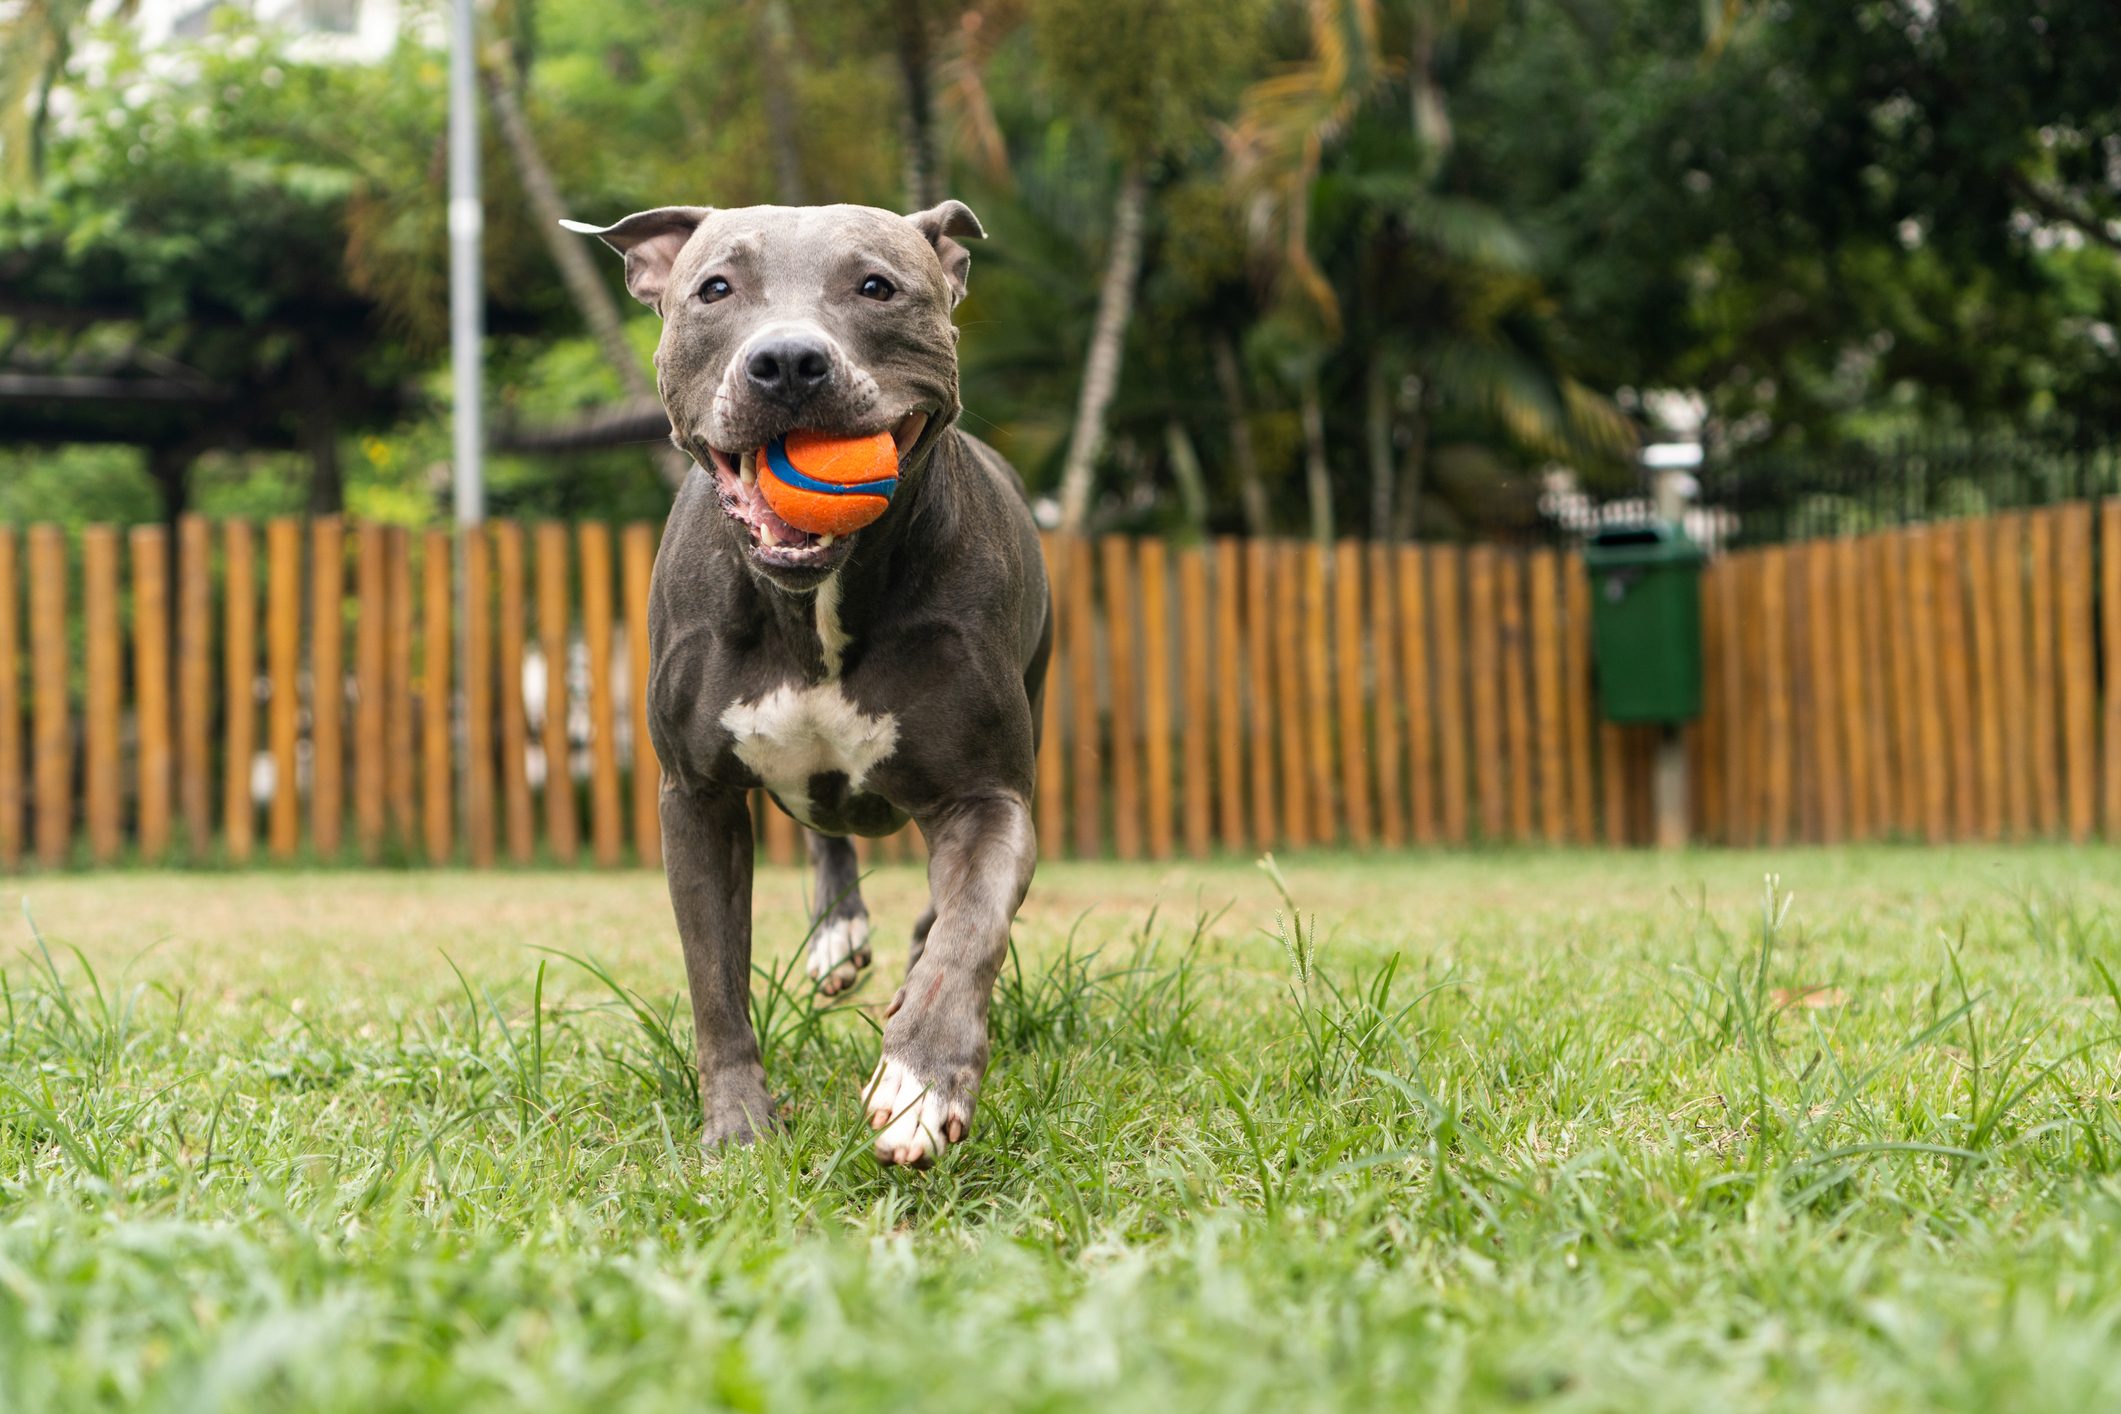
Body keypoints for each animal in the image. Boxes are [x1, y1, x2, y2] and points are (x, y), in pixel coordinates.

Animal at [564, 201, 1052, 1170]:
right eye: (714, 288)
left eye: (876, 286)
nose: (787, 360)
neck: (814, 603)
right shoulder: (698, 799)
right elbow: (714, 980)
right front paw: (739, 1126)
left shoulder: (988, 796)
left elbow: (969, 932)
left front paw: (920, 1083)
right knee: (828, 834)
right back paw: (837, 932)